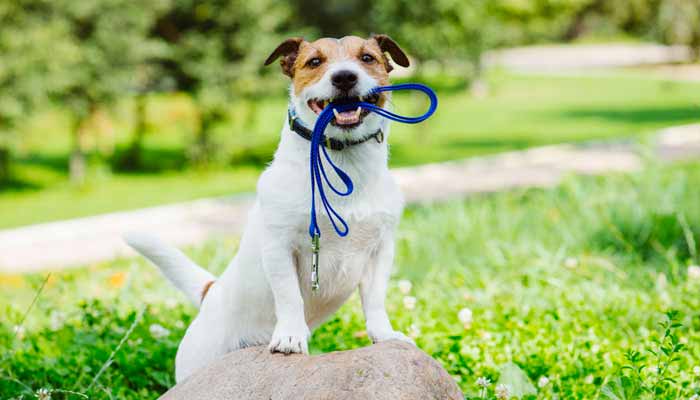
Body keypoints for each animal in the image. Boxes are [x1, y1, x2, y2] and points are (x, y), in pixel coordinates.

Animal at [126, 35, 412, 384]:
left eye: (367, 58)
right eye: (315, 62)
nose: (344, 77)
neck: (343, 165)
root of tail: (212, 293)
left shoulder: (380, 250)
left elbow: (375, 299)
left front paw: (384, 334)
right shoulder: (279, 247)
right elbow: (289, 295)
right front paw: (290, 336)